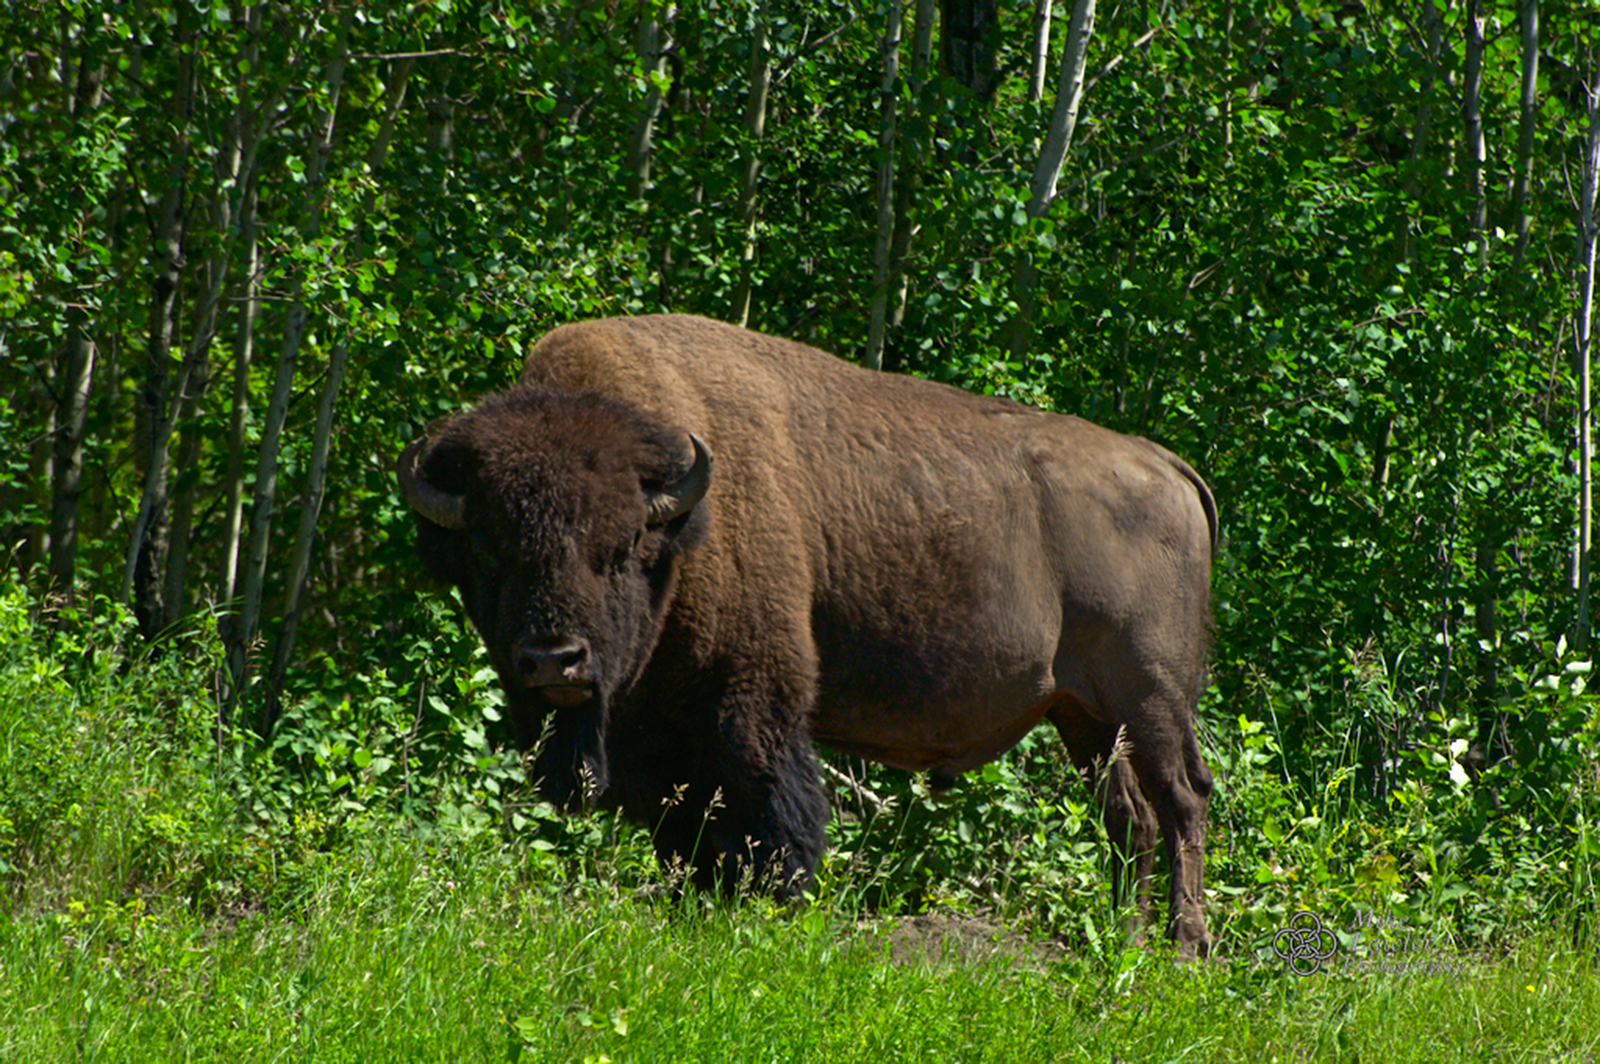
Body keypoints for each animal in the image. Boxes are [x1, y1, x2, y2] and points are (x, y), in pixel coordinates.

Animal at [396, 312, 1209, 947]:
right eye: (489, 552)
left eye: (620, 548)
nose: (553, 659)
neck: (684, 525)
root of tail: (1168, 466)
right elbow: (683, 828)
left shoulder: (753, 699)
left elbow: (769, 812)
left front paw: (768, 906)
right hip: (1084, 714)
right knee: (1129, 818)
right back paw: (1121, 941)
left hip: (1150, 698)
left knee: (1181, 801)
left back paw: (1183, 950)